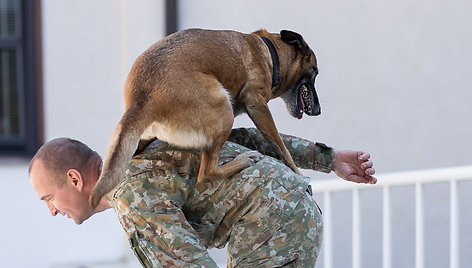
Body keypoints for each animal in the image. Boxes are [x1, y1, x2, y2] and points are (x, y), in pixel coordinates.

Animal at [89, 28, 320, 207]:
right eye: (315, 73)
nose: (318, 111)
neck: (270, 52)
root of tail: (142, 99)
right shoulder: (258, 105)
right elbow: (281, 146)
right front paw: (299, 175)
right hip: (224, 109)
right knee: (206, 172)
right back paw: (243, 161)